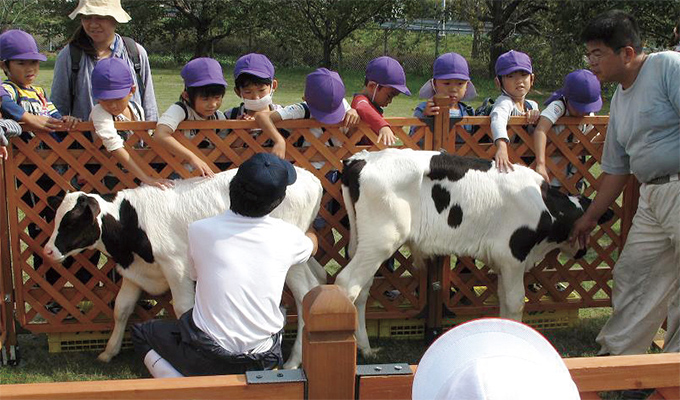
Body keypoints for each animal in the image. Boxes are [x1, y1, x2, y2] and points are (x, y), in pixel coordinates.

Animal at [42, 166, 324, 368]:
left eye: (72, 222)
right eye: (57, 219)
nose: (48, 251)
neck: (131, 222)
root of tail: (310, 178)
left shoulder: (176, 268)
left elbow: (182, 308)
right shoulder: (135, 272)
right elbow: (121, 308)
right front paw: (109, 351)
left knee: (305, 293)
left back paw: (294, 361)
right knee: (319, 278)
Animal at [338, 148, 612, 354]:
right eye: (591, 227)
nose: (582, 252)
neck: (542, 204)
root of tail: (360, 159)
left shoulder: (503, 263)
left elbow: (503, 299)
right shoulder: (514, 257)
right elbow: (515, 301)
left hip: (367, 244)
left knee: (362, 291)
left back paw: (365, 348)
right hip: (381, 241)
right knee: (346, 283)